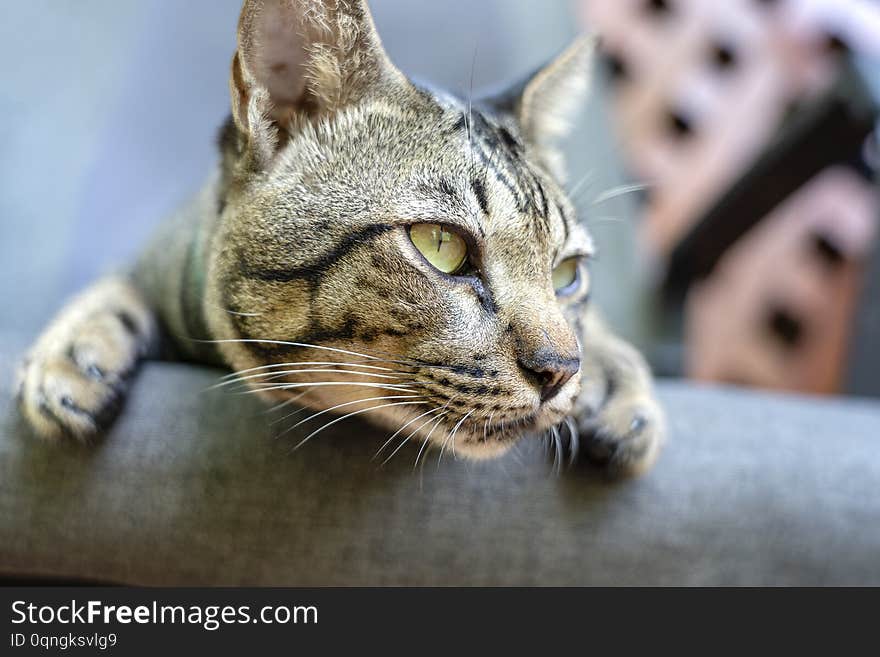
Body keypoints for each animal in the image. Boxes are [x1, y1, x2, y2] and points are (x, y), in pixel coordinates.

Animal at [13, 0, 664, 474]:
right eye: (440, 245)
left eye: (566, 274)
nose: (560, 370)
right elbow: (112, 286)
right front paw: (70, 353)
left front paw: (613, 377)